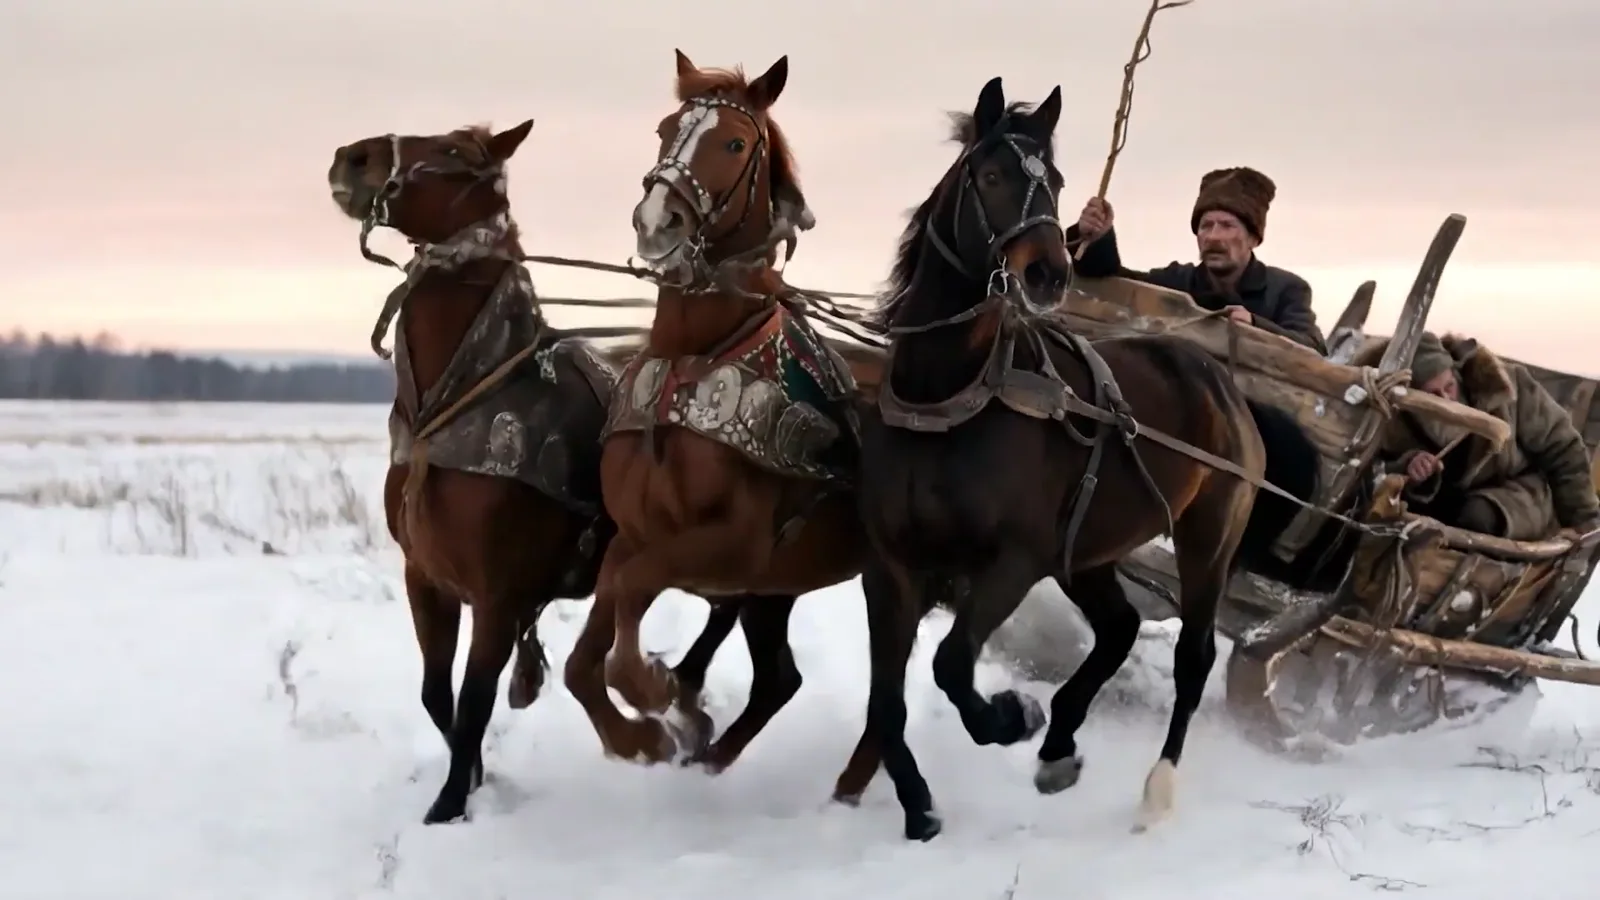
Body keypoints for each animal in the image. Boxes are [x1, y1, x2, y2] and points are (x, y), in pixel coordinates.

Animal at [325, 120, 763, 824]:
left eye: (456, 151)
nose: (353, 157)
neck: (464, 402)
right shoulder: (427, 580)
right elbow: (436, 695)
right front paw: (474, 778)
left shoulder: (498, 597)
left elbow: (474, 701)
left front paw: (449, 805)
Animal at [561, 50, 882, 768]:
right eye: (664, 129)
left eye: (734, 143)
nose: (657, 222)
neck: (692, 358)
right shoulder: (636, 534)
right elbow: (587, 651)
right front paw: (645, 731)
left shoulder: (735, 549)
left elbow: (631, 601)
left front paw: (654, 692)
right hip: (780, 592)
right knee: (780, 679)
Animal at [837, 76, 1312, 842]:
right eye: (991, 175)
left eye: (1055, 182)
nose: (1048, 272)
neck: (948, 399)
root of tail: (1226, 384)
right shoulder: (890, 567)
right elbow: (886, 704)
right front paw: (919, 806)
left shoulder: (1014, 559)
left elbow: (951, 664)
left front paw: (1010, 715)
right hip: (1087, 549)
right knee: (1118, 628)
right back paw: (1060, 743)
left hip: (1207, 537)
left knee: (1193, 658)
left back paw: (1155, 787)